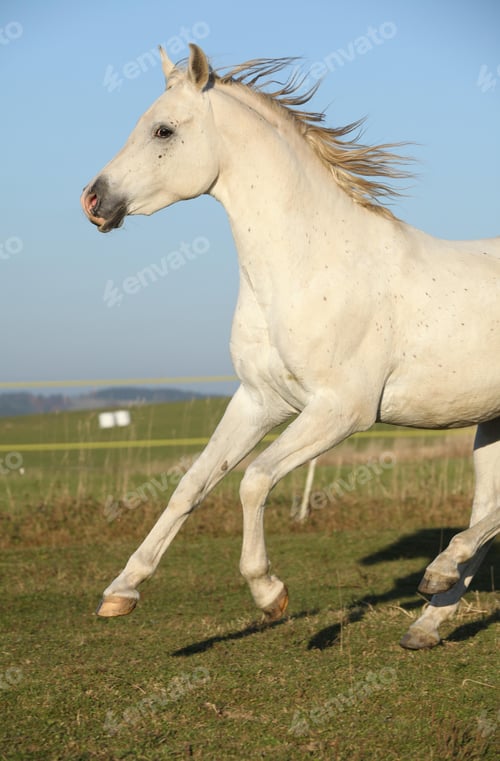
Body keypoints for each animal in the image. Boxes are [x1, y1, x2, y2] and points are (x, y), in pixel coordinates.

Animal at [81, 43, 499, 650]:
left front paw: (269, 593)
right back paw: (427, 619)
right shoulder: (260, 401)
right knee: (489, 511)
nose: (94, 199)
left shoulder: (341, 412)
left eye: (162, 130)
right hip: (490, 422)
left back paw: (440, 571)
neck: (307, 264)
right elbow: (191, 484)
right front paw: (121, 592)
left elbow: (254, 481)